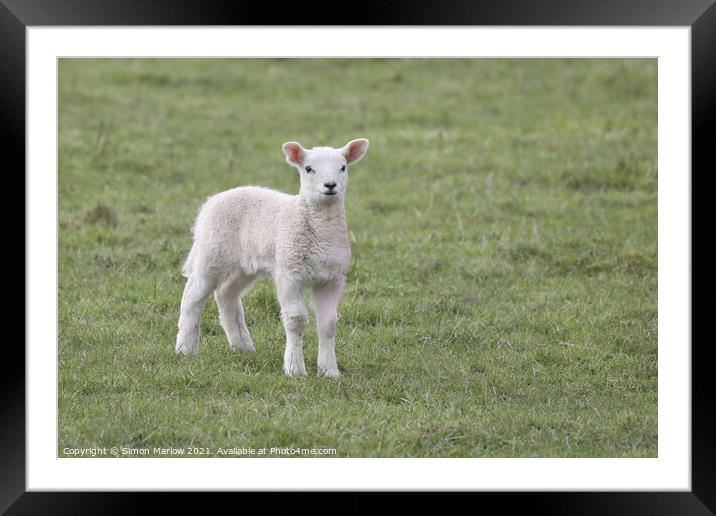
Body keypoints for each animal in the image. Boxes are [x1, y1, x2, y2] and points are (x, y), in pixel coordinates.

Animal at [174, 139, 370, 376]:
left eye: (343, 167)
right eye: (308, 169)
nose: (330, 185)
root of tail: (212, 200)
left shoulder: (332, 278)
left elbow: (328, 324)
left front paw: (329, 371)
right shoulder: (289, 273)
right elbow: (296, 320)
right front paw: (295, 369)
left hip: (244, 265)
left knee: (225, 294)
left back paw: (243, 347)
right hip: (211, 252)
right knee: (192, 297)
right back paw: (185, 349)